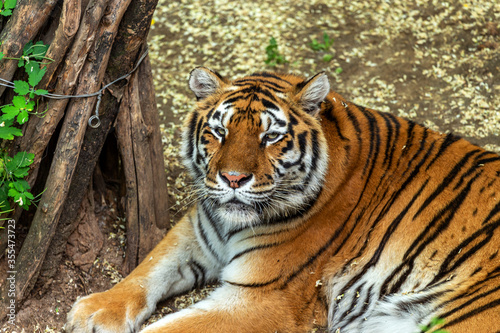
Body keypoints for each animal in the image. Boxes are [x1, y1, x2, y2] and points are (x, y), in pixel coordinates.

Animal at [66, 67, 500, 332]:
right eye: (219, 131)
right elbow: (149, 267)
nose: (233, 178)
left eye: (271, 136)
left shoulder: (259, 298)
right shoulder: (196, 231)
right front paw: (95, 309)